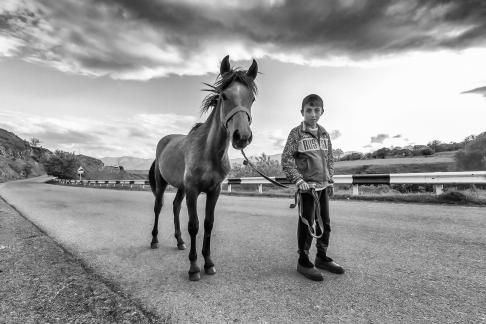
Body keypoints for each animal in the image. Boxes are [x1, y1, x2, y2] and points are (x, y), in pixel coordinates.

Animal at [148, 55, 258, 280]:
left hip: (181, 188)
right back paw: (154, 240)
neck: (209, 152)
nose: (242, 137)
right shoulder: (192, 190)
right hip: (163, 183)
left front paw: (208, 263)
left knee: (175, 206)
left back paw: (180, 241)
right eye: (224, 96)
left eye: (251, 98)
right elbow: (194, 225)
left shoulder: (213, 191)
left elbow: (208, 224)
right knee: (158, 207)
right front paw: (193, 267)